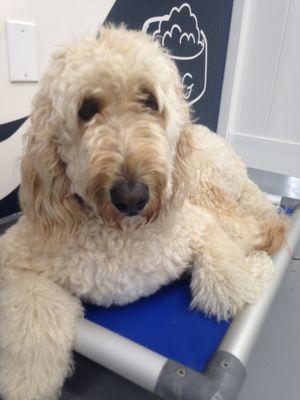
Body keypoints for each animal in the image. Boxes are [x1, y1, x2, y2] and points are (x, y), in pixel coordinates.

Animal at [0, 26, 288, 398]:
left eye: (149, 101)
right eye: (86, 109)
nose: (131, 196)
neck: (121, 235)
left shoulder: (199, 225)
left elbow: (227, 285)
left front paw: (255, 270)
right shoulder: (15, 260)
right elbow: (34, 324)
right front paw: (27, 383)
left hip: (206, 188)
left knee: (252, 225)